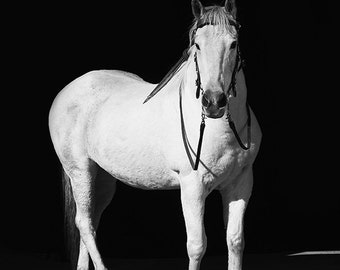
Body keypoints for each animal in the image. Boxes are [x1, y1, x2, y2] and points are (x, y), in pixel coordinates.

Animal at [47, 0, 262, 270]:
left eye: (233, 44)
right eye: (197, 45)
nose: (213, 102)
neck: (220, 129)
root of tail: (67, 90)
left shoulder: (240, 184)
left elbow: (234, 241)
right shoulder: (192, 187)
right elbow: (197, 246)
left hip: (102, 178)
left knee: (91, 222)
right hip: (79, 171)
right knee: (83, 223)